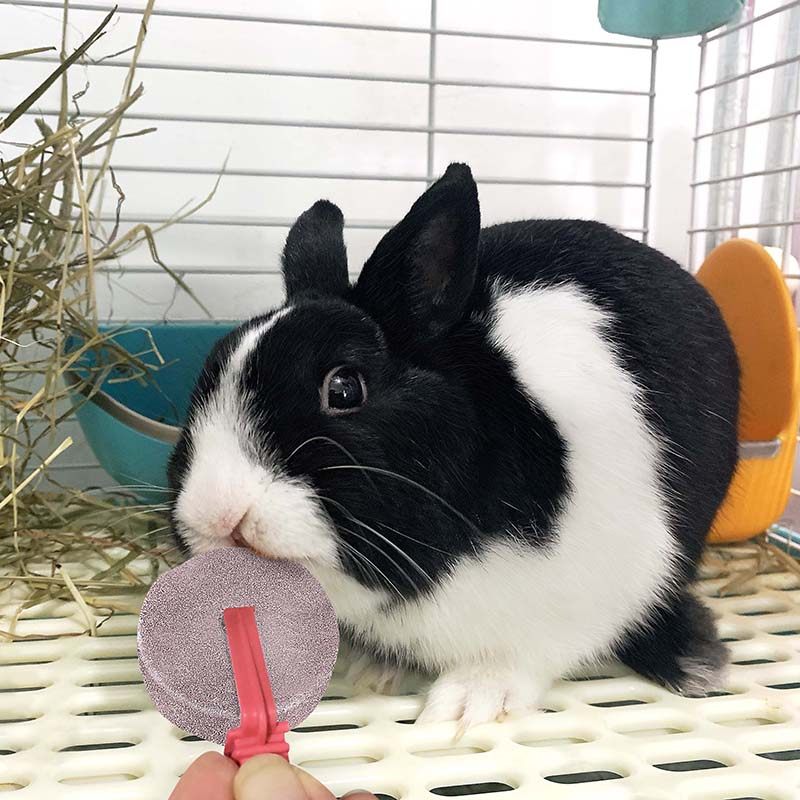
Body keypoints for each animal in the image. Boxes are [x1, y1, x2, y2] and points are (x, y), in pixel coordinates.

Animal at [168, 163, 739, 727]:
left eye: (344, 388)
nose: (215, 515)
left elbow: (524, 653)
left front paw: (469, 704)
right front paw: (370, 669)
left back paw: (692, 660)